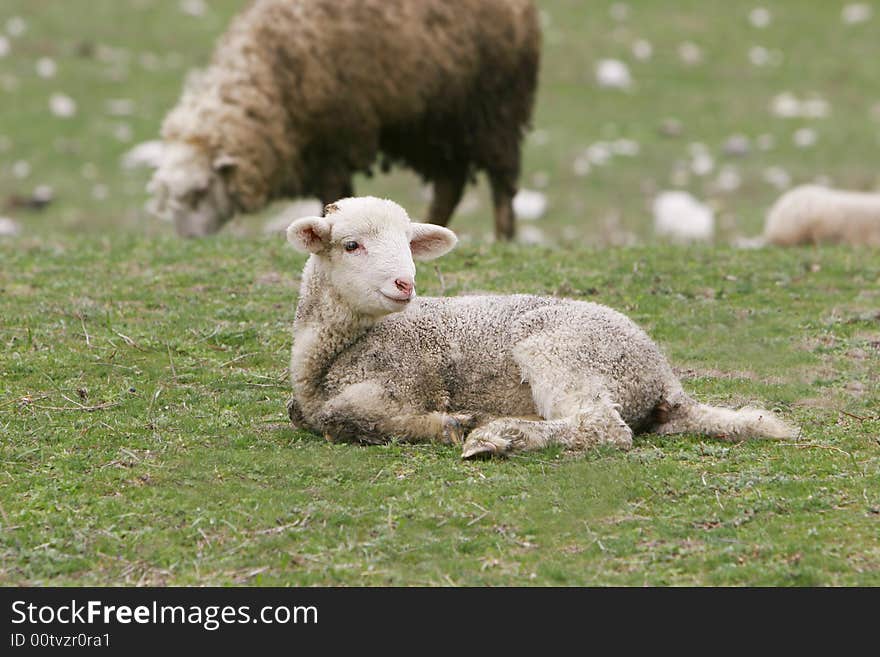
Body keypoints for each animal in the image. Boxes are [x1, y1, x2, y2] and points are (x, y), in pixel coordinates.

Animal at [148, 0, 540, 240]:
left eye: (201, 191)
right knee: (450, 184)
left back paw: (504, 237)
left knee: (502, 182)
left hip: (495, 110)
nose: (188, 240)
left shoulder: (332, 143)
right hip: (434, 124)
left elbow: (333, 195)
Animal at [284, 197, 796, 458]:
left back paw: (498, 436)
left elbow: (340, 415)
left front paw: (448, 424)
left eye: (410, 244)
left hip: (563, 353)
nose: (404, 284)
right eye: (351, 245)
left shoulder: (410, 378)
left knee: (602, 427)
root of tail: (662, 376)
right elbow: (301, 412)